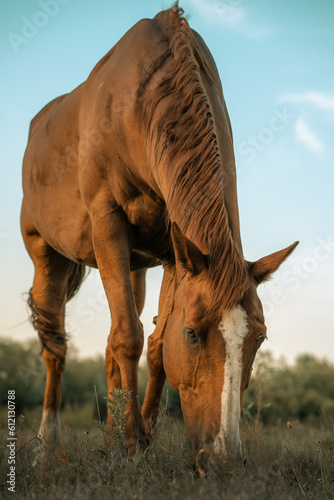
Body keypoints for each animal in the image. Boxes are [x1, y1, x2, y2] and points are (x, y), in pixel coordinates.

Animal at [20, 3, 298, 470]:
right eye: (192, 334)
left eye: (258, 338)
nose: (223, 456)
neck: (139, 103)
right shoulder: (108, 223)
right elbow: (129, 337)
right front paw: (133, 443)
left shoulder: (174, 250)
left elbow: (151, 346)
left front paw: (141, 436)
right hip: (46, 254)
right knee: (55, 346)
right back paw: (48, 445)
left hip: (134, 266)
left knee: (111, 344)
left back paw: (111, 432)